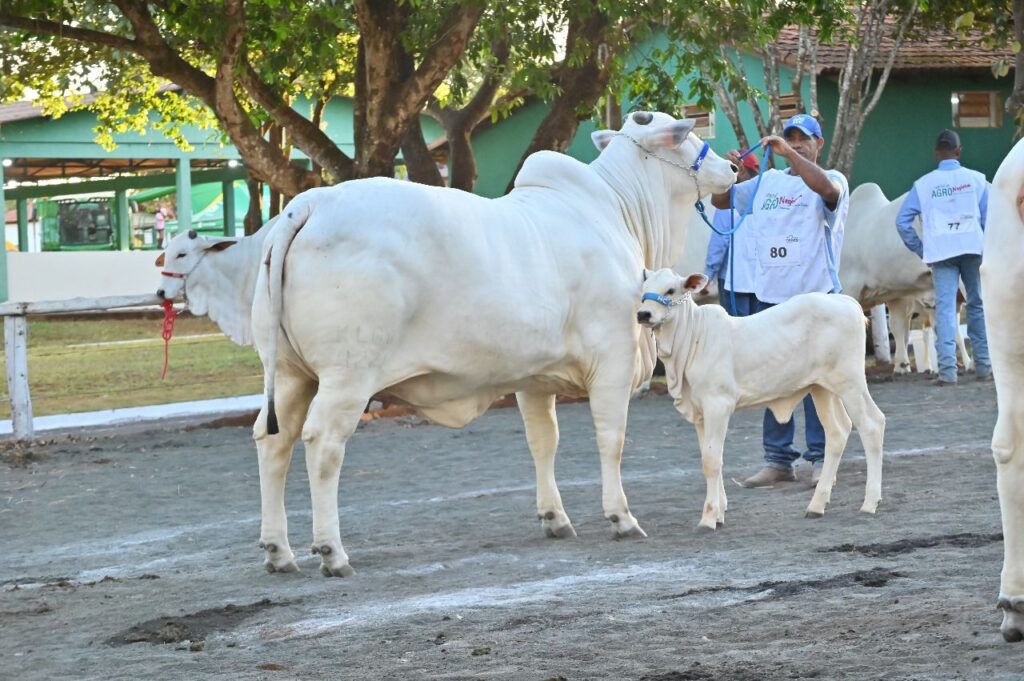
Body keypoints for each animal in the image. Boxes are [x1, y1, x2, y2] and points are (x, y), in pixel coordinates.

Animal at [239, 111, 737, 577]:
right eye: (687, 136)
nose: (732, 166)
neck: (621, 210)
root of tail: (308, 205)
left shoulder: (534, 378)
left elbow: (543, 441)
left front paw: (555, 518)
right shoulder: (612, 359)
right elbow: (610, 439)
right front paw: (621, 518)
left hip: (289, 373)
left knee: (272, 441)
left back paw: (278, 551)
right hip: (347, 376)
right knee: (322, 443)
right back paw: (332, 552)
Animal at [637, 269, 885, 530]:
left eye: (670, 290)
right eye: (644, 290)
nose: (643, 314)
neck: (693, 337)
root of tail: (846, 302)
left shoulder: (718, 405)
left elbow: (712, 460)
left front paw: (709, 517)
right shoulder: (700, 414)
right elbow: (710, 456)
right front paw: (720, 512)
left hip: (851, 383)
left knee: (872, 424)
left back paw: (870, 502)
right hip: (821, 388)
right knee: (838, 432)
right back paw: (817, 506)